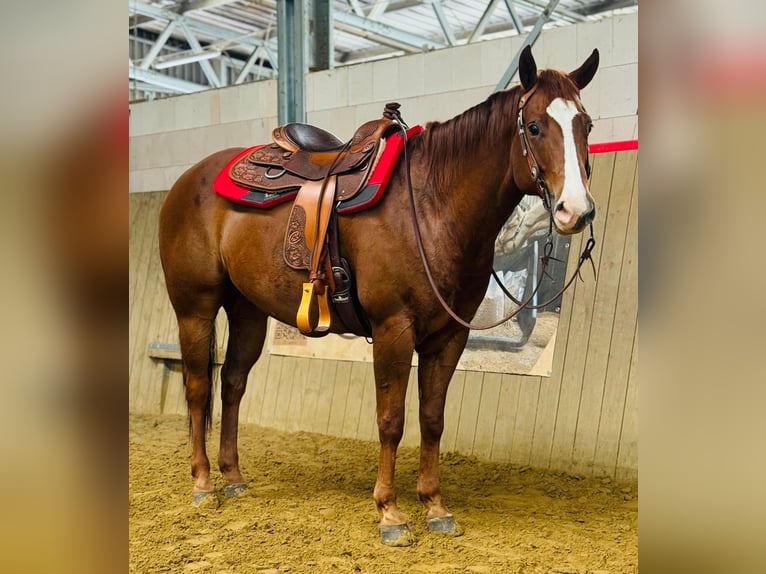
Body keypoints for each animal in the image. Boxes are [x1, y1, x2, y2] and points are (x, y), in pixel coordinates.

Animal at [158, 46, 599, 546]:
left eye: (586, 125)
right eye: (535, 126)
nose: (576, 211)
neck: (431, 205)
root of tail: (189, 180)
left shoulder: (449, 337)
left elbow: (432, 419)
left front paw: (435, 506)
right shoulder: (394, 329)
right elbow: (391, 420)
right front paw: (390, 512)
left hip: (248, 311)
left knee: (232, 383)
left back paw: (233, 478)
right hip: (195, 308)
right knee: (198, 389)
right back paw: (202, 483)